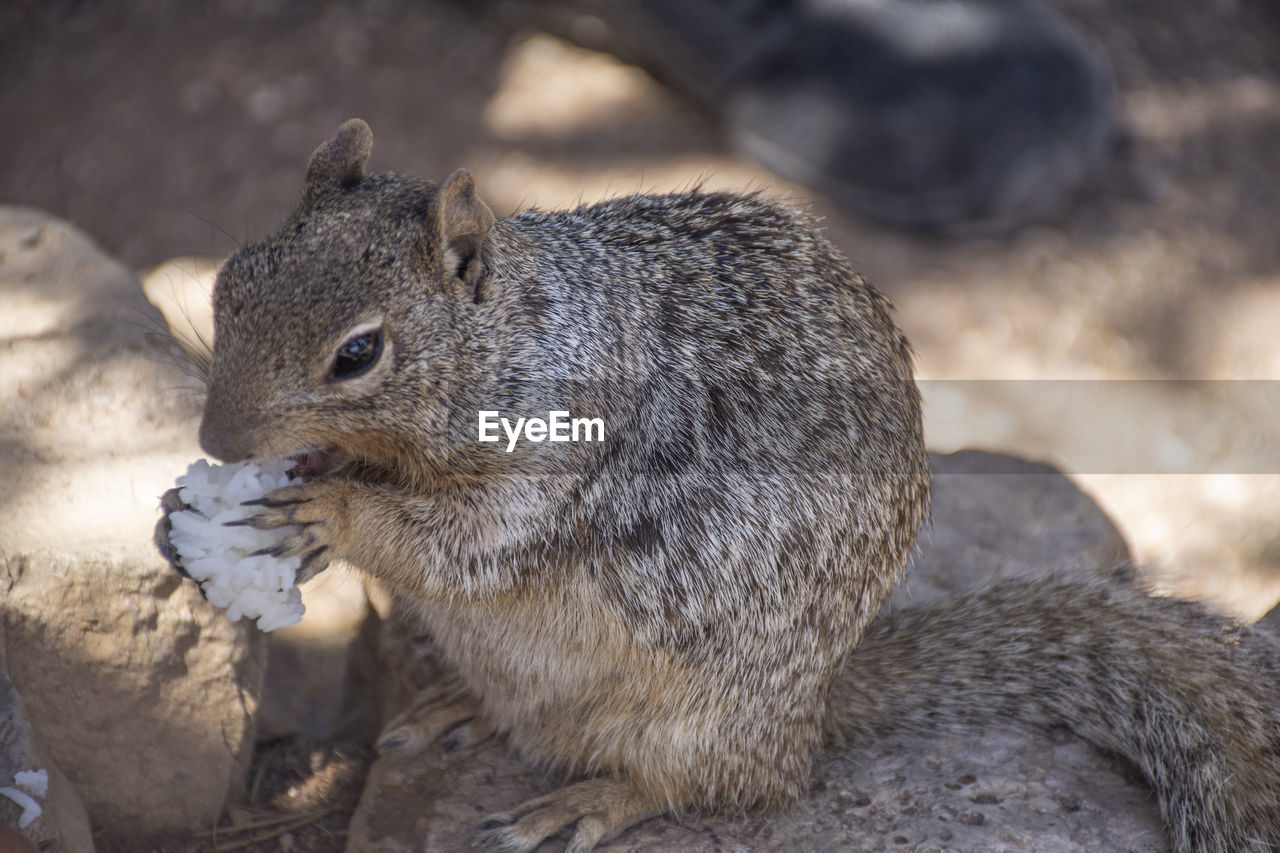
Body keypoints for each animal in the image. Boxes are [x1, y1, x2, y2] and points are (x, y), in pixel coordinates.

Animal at [160, 121, 1280, 850]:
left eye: (357, 354)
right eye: (228, 280)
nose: (216, 436)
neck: (513, 340)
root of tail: (814, 709)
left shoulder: (558, 462)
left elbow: (464, 539)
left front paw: (329, 510)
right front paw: (246, 506)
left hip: (703, 715)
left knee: (718, 786)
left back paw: (591, 802)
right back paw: (463, 707)